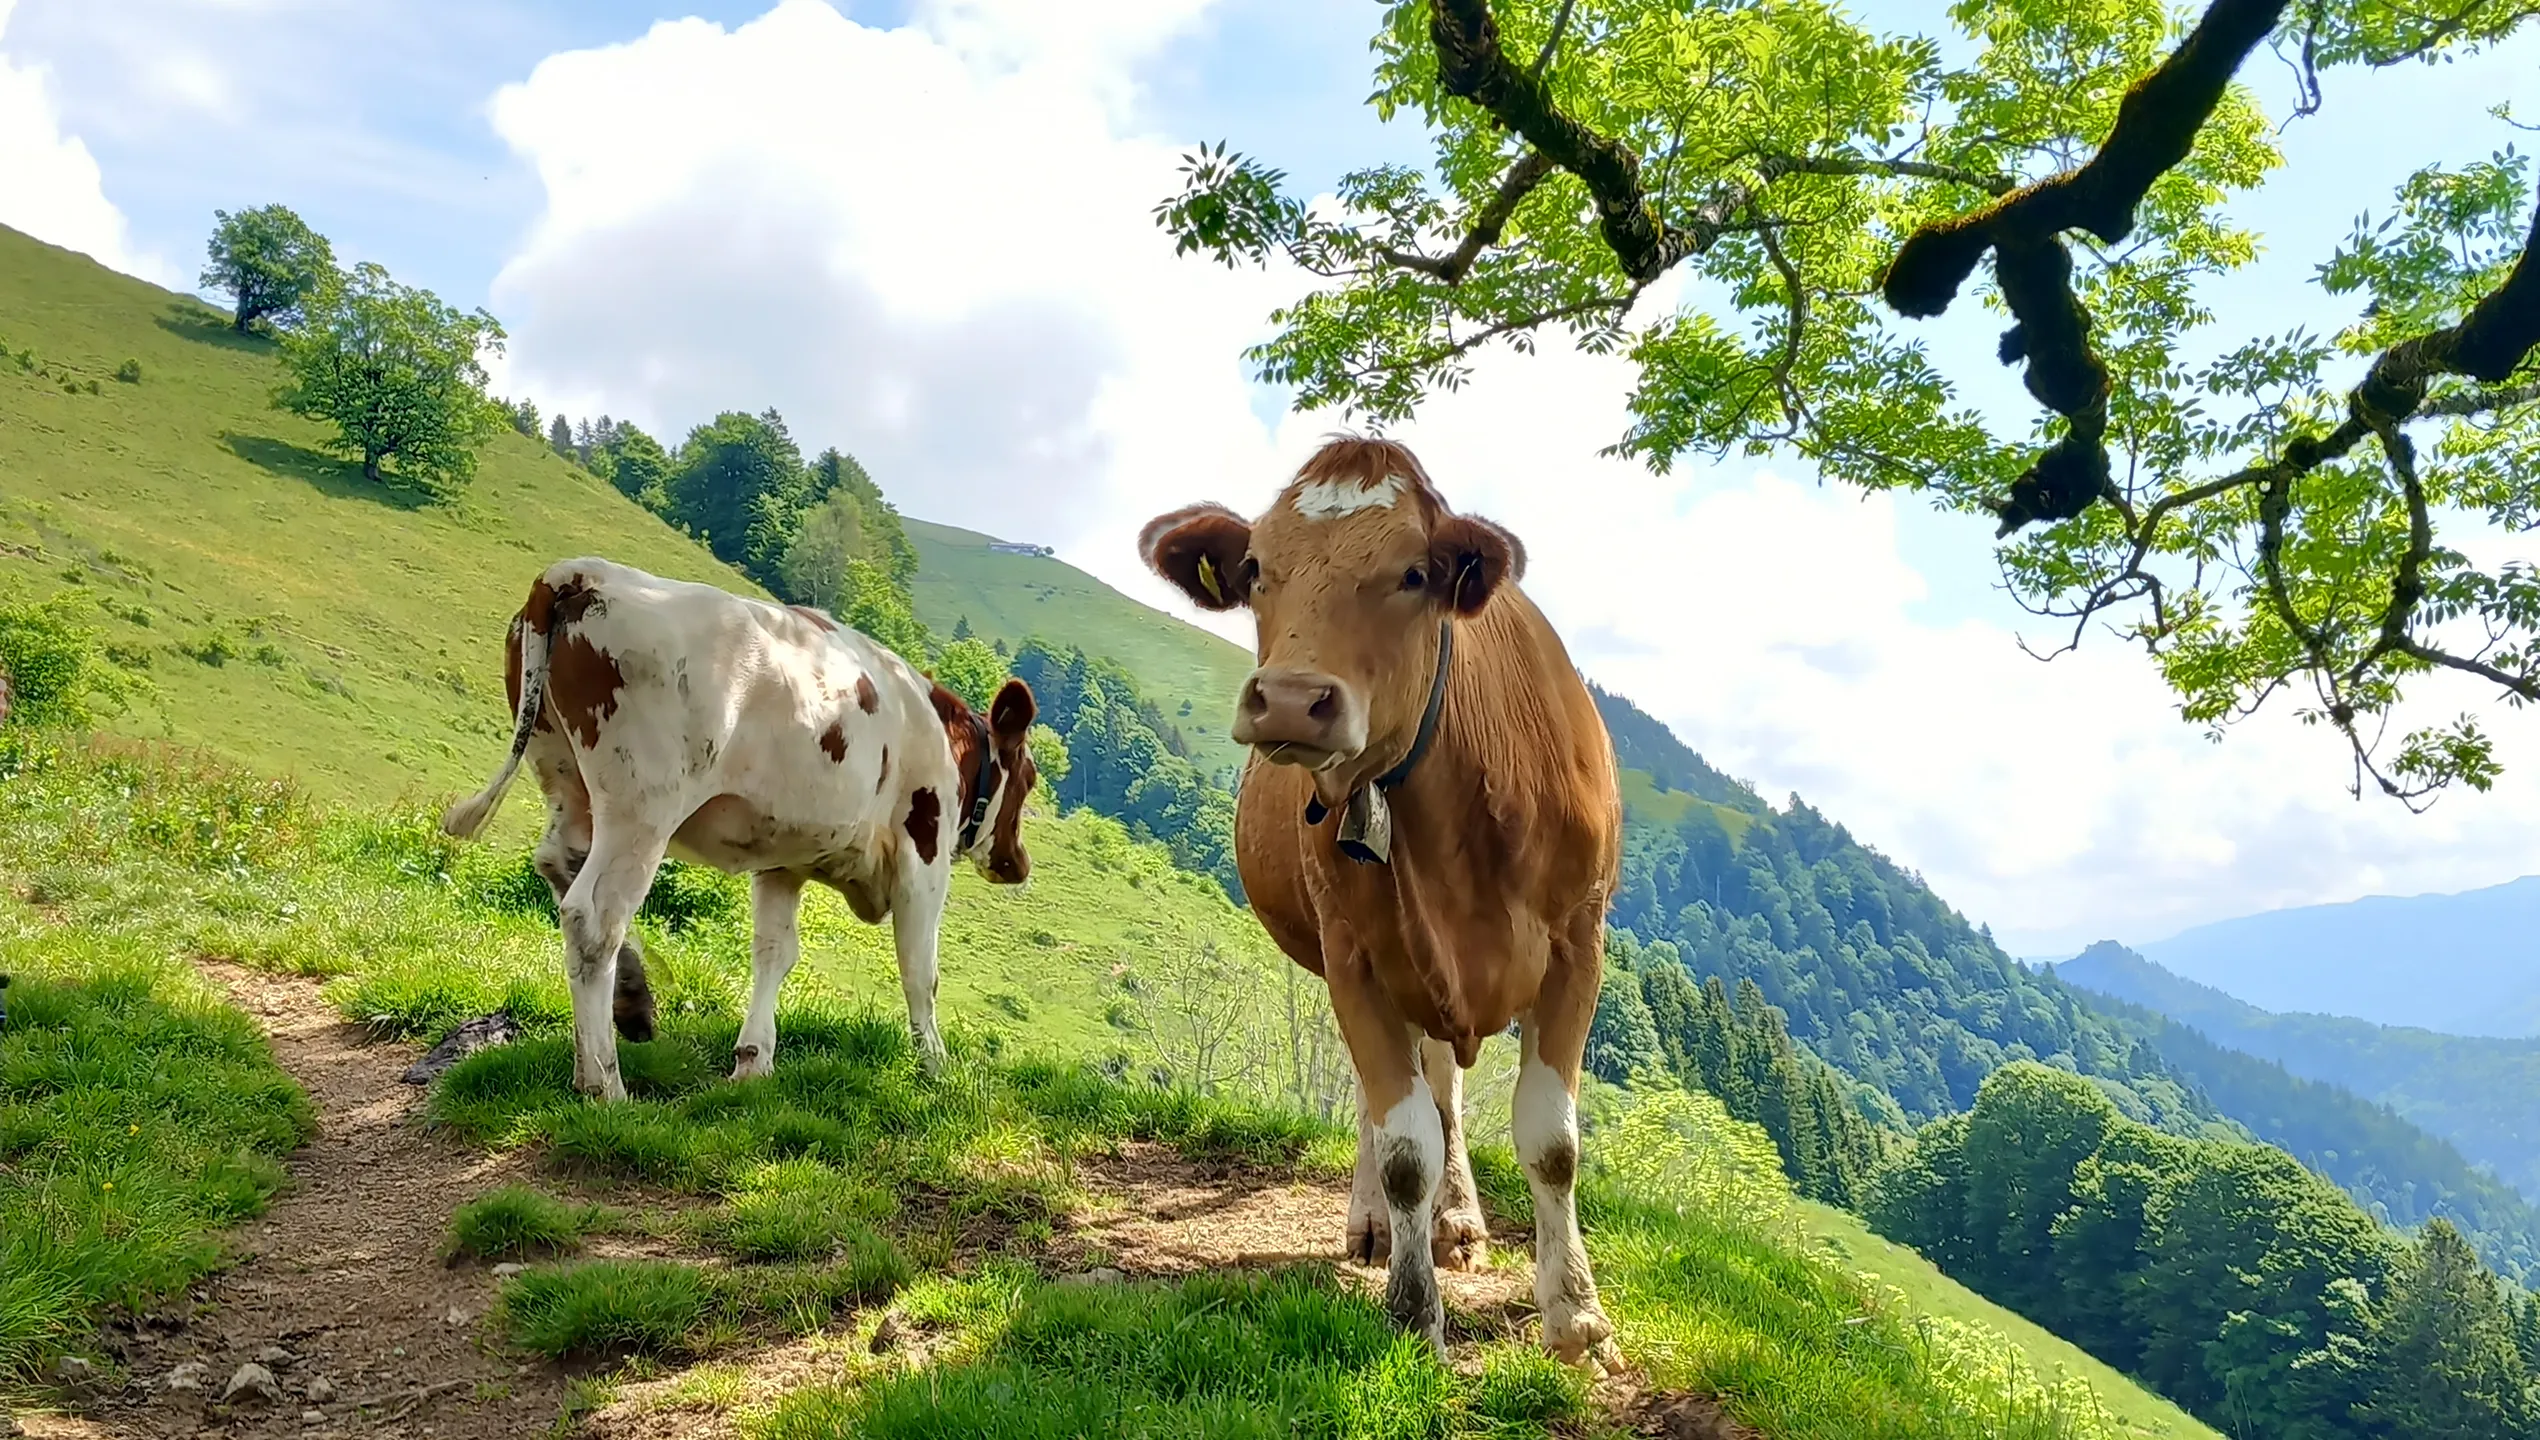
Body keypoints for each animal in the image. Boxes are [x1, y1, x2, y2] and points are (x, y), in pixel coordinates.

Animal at [439, 558, 1031, 1097]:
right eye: (1028, 780)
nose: (1019, 864)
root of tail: (580, 572)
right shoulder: (922, 857)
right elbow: (920, 970)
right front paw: (936, 1067)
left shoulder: (782, 860)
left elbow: (775, 952)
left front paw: (753, 1060)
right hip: (643, 805)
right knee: (594, 917)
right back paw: (604, 1084)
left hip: (567, 780)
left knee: (559, 865)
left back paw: (632, 1002)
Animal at [1137, 434, 1615, 1371]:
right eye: (1256, 568)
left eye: (1414, 573)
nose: (1290, 699)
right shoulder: (1354, 956)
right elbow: (1402, 1148)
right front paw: (1410, 1309)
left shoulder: (1580, 945)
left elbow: (1551, 1141)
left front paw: (1574, 1312)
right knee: (1390, 1100)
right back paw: (1379, 1226)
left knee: (1447, 1086)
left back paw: (1457, 1220)